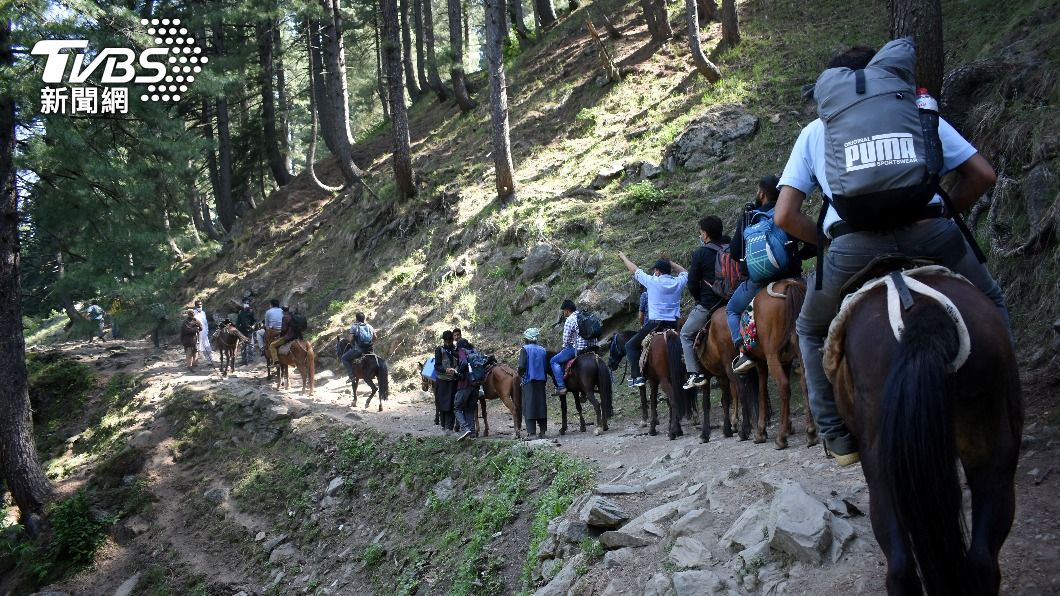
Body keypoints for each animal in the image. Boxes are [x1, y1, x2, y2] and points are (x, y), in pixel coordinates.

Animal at [737, 279, 817, 449]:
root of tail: (788, 284)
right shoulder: (786, 361)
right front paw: (788, 426)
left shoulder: (761, 362)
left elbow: (761, 392)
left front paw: (760, 432)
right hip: (800, 347)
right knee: (804, 383)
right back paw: (811, 433)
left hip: (771, 356)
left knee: (783, 386)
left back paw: (781, 438)